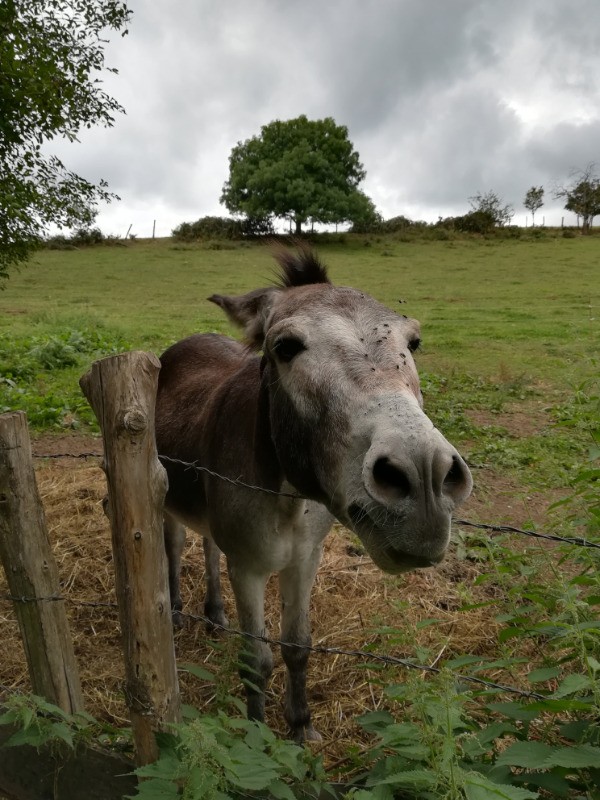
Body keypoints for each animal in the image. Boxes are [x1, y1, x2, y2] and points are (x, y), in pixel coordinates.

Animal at [155, 246, 472, 741]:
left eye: (415, 342)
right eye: (285, 347)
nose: (423, 478)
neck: (289, 500)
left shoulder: (306, 559)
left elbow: (297, 646)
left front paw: (301, 728)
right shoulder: (248, 569)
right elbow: (257, 661)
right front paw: (257, 736)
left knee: (208, 545)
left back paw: (215, 614)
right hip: (165, 496)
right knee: (173, 544)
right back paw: (174, 612)